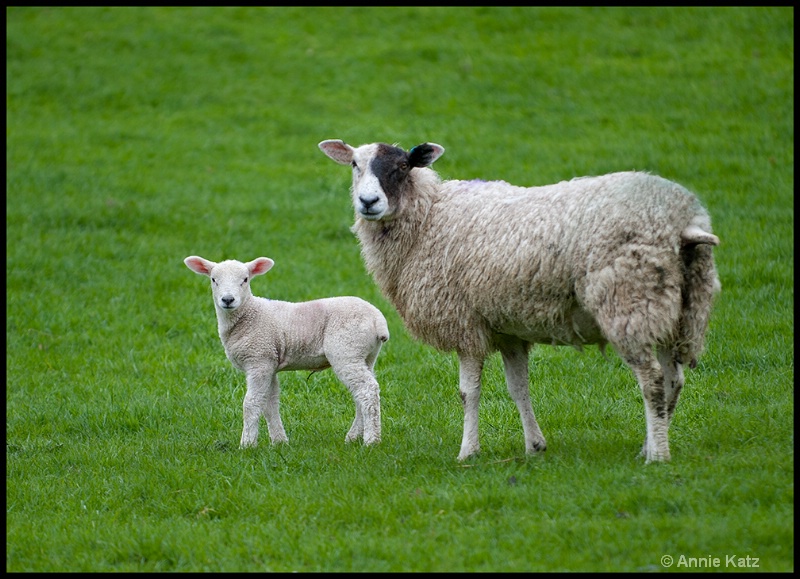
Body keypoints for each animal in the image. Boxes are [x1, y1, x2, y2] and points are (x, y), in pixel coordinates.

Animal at [185, 256, 390, 450]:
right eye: (214, 280)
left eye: (245, 279)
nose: (227, 300)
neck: (249, 315)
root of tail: (378, 319)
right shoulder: (269, 362)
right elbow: (269, 404)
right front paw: (279, 441)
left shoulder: (259, 359)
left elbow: (251, 403)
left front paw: (247, 444)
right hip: (366, 355)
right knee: (363, 394)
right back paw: (353, 437)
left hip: (346, 351)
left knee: (367, 390)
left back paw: (371, 441)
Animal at [320, 138, 724, 464]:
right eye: (355, 164)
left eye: (403, 166)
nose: (368, 202)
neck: (429, 217)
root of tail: (681, 221)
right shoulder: (508, 330)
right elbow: (519, 389)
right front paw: (535, 446)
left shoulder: (464, 323)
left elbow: (468, 393)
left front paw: (468, 451)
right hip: (680, 308)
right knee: (674, 379)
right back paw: (652, 443)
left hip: (629, 302)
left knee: (653, 380)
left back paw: (657, 455)